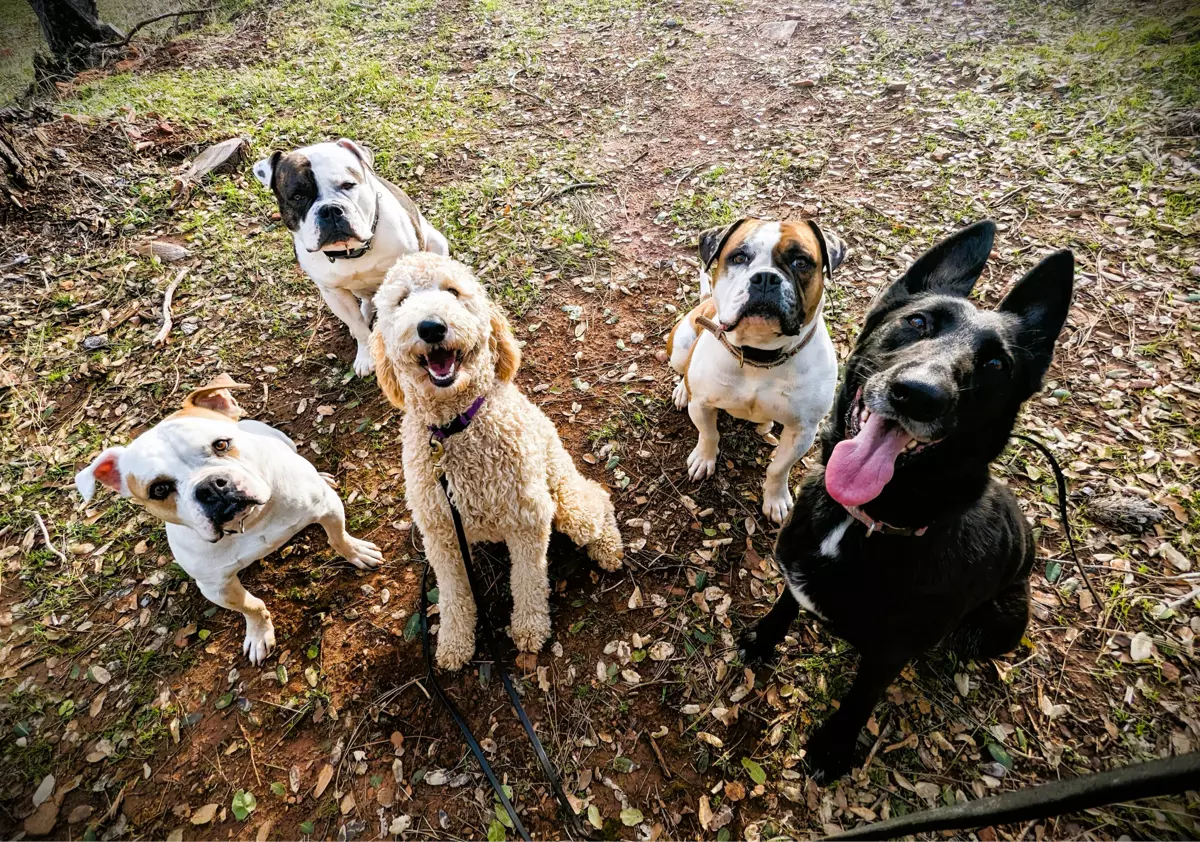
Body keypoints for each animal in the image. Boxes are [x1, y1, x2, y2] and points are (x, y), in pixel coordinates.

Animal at [369, 254, 624, 671]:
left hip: (567, 502)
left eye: (454, 291)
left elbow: (528, 581)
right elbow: (454, 595)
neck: (455, 429)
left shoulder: (529, 519)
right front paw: (454, 643)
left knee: (596, 498)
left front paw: (529, 628)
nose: (431, 327)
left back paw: (607, 547)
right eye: (402, 299)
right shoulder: (442, 536)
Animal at [744, 223, 1075, 786]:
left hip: (1003, 622)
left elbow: (859, 699)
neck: (862, 522)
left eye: (996, 364)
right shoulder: (795, 569)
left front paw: (833, 748)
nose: (919, 394)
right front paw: (762, 641)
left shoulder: (888, 654)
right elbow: (784, 606)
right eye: (917, 322)